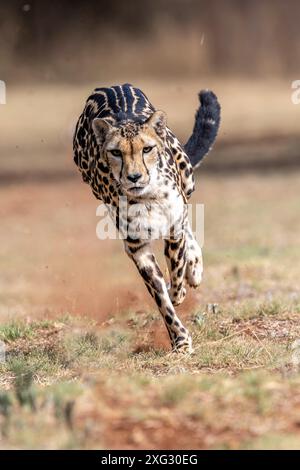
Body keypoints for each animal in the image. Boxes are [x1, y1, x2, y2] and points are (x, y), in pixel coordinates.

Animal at [73, 83, 220, 352]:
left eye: (147, 149)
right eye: (116, 152)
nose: (134, 177)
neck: (147, 197)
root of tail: (110, 86)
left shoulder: (173, 229)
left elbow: (176, 271)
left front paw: (179, 291)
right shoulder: (137, 247)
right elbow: (160, 297)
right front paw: (180, 340)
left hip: (187, 178)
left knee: (187, 222)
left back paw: (194, 268)